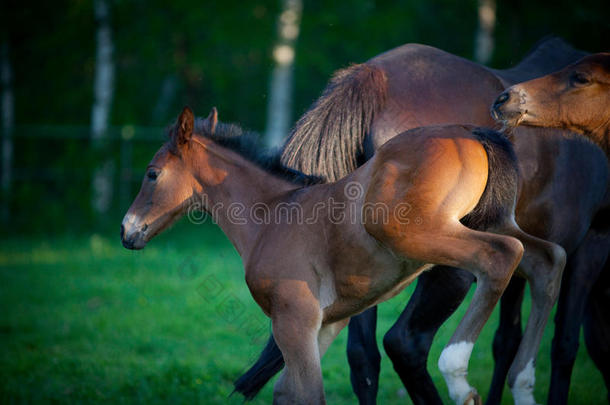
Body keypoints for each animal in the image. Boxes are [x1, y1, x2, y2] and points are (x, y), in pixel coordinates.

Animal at [121, 107, 548, 404]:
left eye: (152, 174)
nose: (127, 231)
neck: (273, 215)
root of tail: (467, 130)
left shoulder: (293, 318)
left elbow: (308, 393)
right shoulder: (327, 323)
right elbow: (287, 392)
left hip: (422, 235)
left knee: (500, 257)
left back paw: (458, 374)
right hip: (494, 221)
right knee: (548, 259)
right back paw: (524, 383)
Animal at [234, 38, 608, 404]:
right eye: (580, 79)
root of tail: (373, 77)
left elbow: (508, 339)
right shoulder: (591, 245)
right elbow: (565, 342)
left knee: (364, 356)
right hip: (445, 264)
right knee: (406, 342)